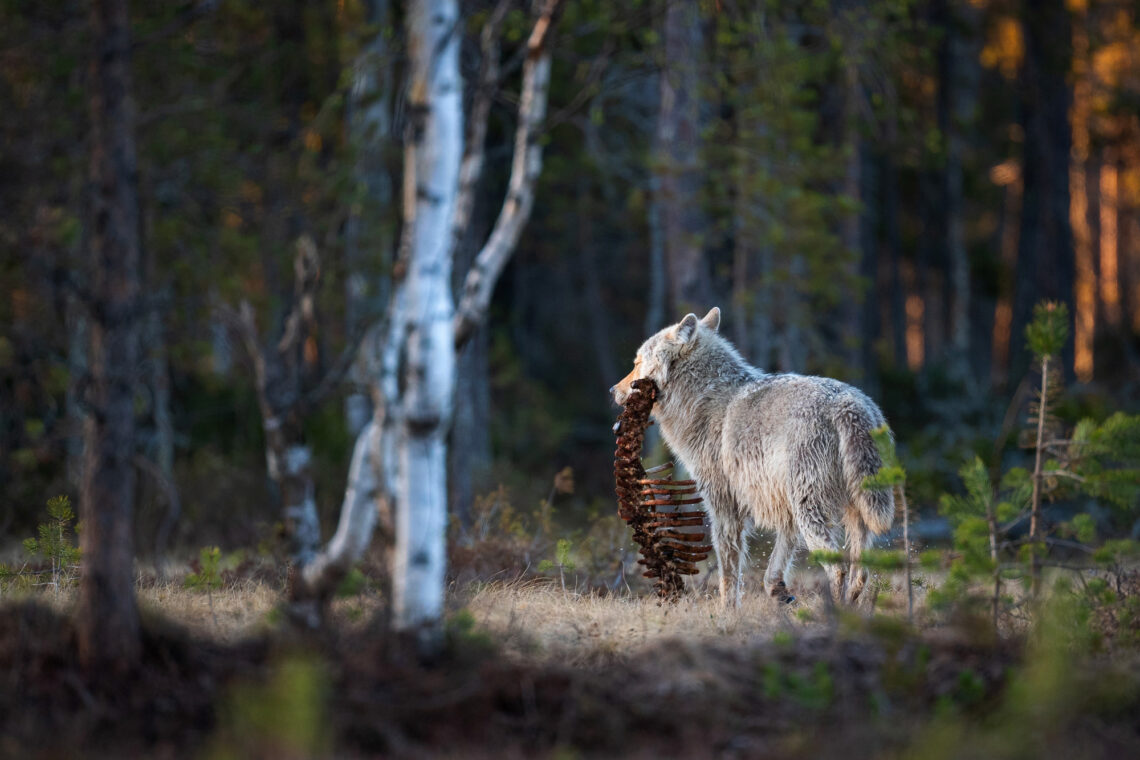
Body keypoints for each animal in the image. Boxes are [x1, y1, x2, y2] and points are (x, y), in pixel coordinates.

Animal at [611, 305, 893, 601]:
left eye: (636, 363)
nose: (612, 390)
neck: (702, 399)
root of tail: (849, 404)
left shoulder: (724, 507)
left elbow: (728, 577)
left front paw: (727, 611)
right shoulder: (784, 511)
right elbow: (773, 569)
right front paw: (779, 593)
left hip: (811, 510)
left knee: (838, 570)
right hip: (854, 515)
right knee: (859, 576)